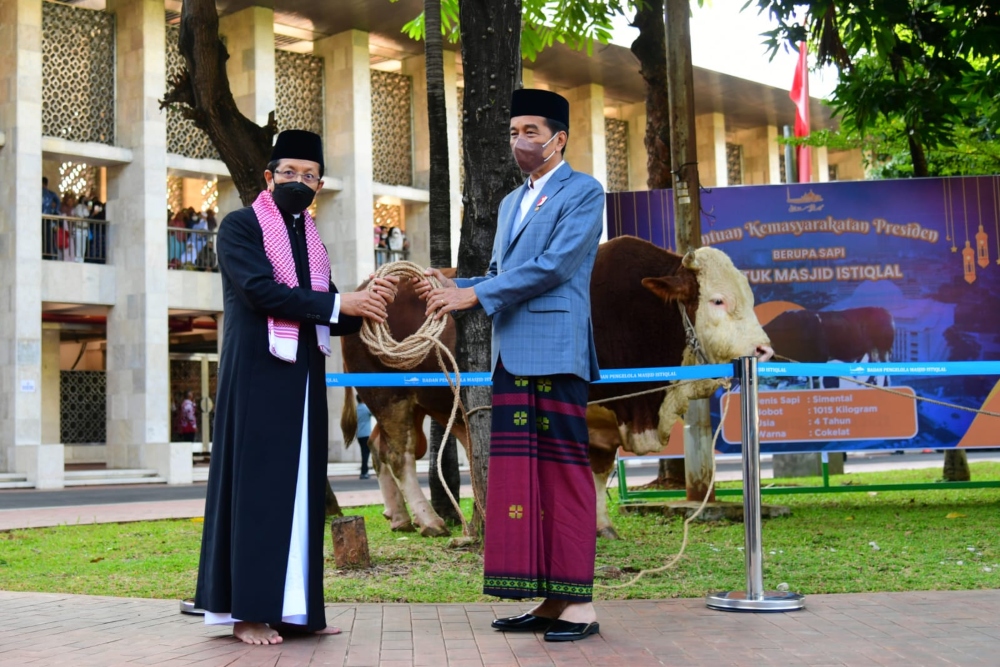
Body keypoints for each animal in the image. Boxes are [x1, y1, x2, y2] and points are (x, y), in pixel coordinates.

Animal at [340, 237, 768, 540]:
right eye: (717, 300)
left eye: (749, 297)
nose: (762, 349)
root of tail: (365, 286)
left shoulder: (607, 418)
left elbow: (598, 471)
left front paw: (601, 526)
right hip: (389, 397)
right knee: (399, 455)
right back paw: (428, 520)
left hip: (412, 404)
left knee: (380, 448)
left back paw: (398, 517)